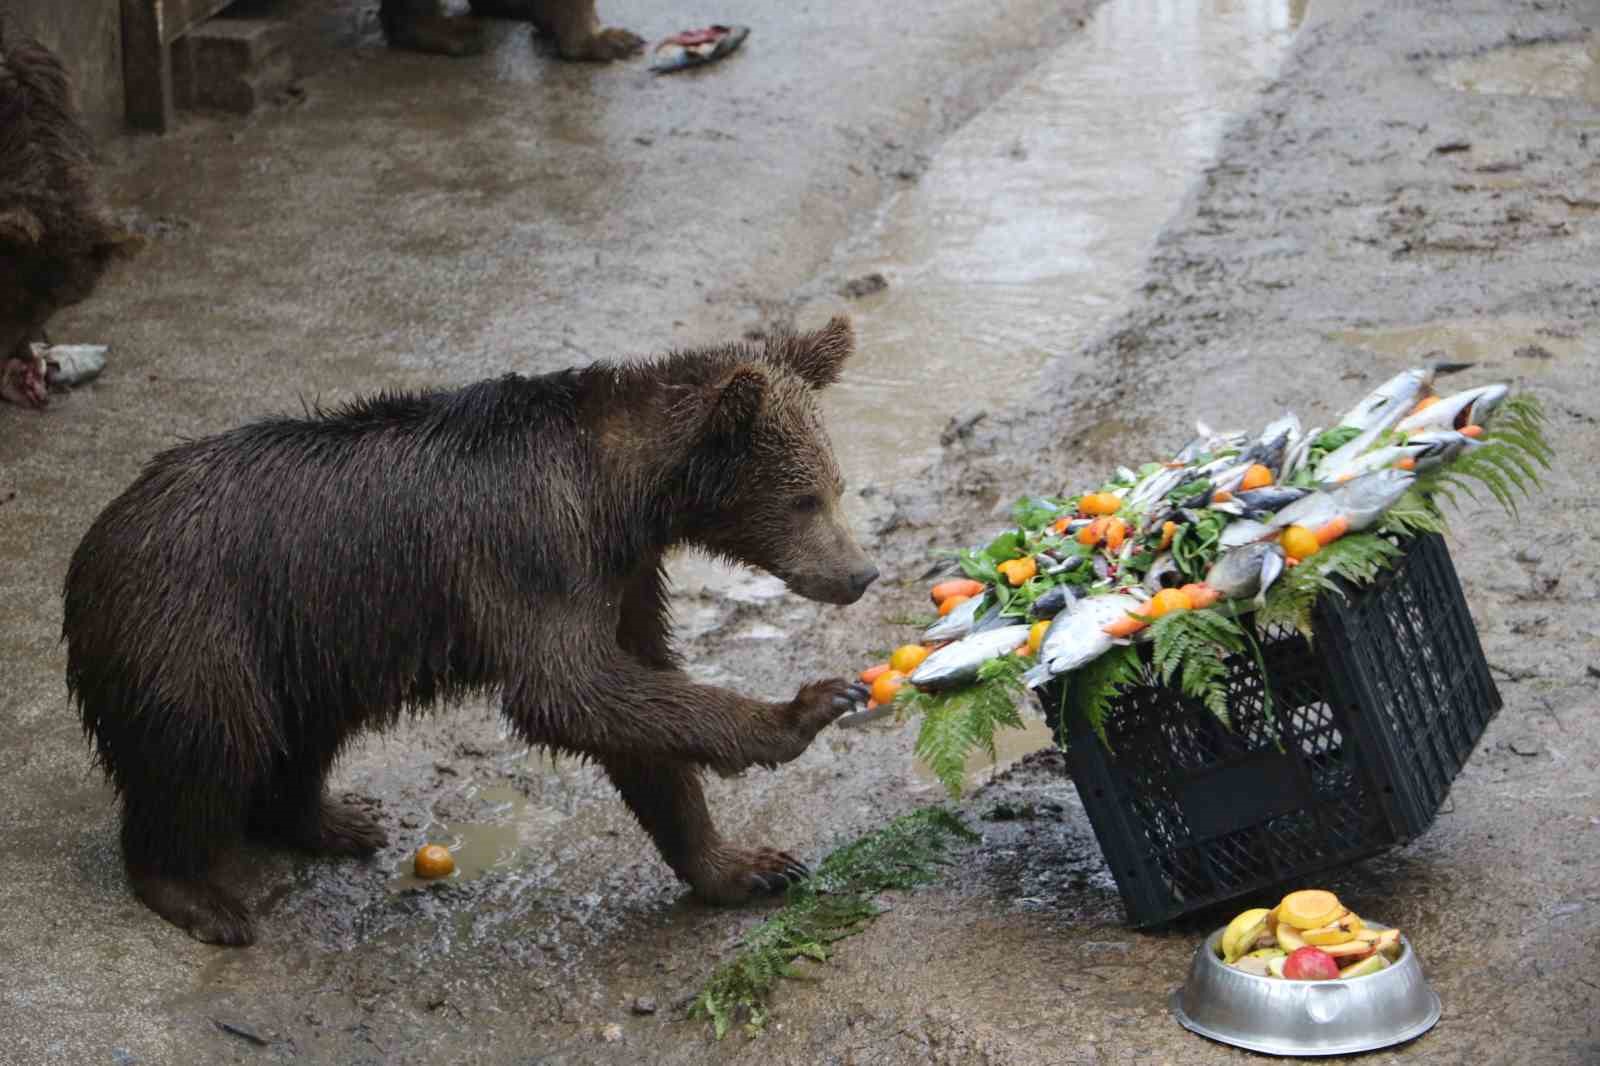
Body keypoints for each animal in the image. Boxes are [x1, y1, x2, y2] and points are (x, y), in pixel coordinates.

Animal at [62, 313, 883, 941]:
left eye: (836, 486)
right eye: (806, 498)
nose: (860, 573)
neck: (619, 493)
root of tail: (94, 543)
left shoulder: (621, 576)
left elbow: (639, 712)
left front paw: (746, 865)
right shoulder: (532, 552)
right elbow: (571, 691)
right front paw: (806, 709)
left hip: (312, 637)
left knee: (305, 732)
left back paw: (336, 818)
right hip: (197, 623)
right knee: (207, 741)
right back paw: (197, 893)